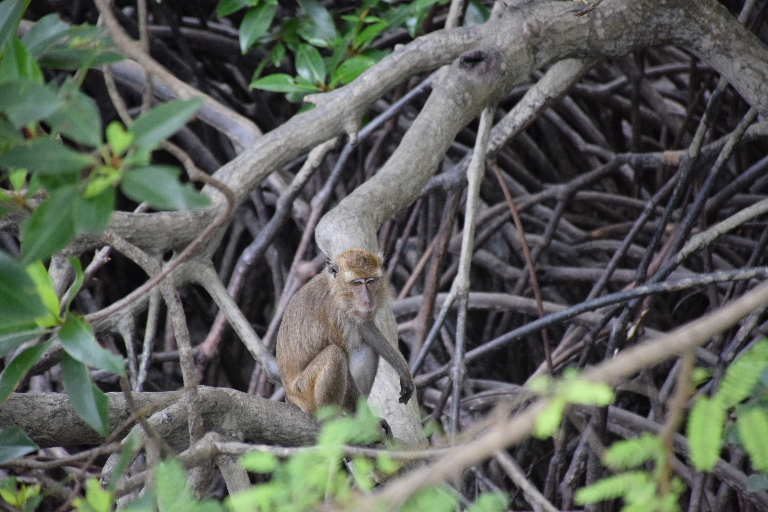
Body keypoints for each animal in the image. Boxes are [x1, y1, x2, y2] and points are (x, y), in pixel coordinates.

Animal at [278, 249, 414, 416]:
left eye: (370, 281)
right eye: (357, 283)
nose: (367, 300)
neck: (336, 290)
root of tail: (289, 396)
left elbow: (366, 329)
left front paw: (403, 370)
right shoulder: (336, 316)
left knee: (368, 349)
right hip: (303, 392)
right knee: (335, 355)